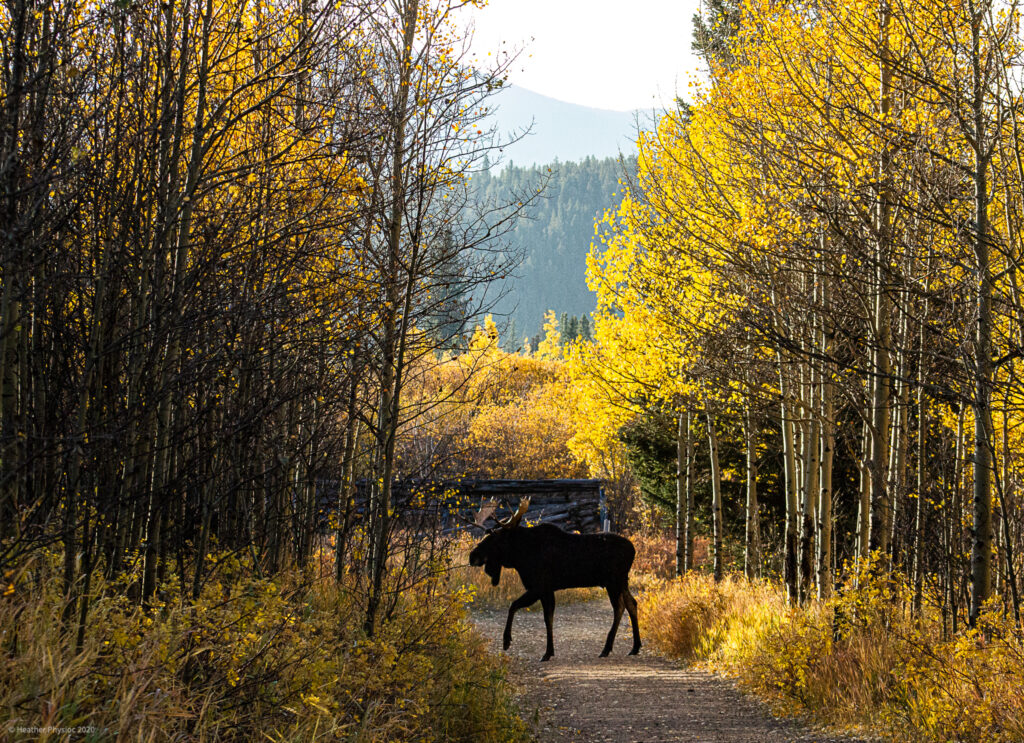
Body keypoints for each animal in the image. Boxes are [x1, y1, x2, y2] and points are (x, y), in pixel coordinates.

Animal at [468, 501, 638, 663]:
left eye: (495, 537)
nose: (472, 555)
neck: (520, 557)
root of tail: (633, 550)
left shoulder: (539, 587)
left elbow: (516, 607)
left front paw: (508, 642)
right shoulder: (546, 590)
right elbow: (547, 617)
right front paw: (549, 651)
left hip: (614, 581)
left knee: (620, 607)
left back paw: (607, 648)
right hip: (622, 581)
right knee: (631, 603)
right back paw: (635, 647)